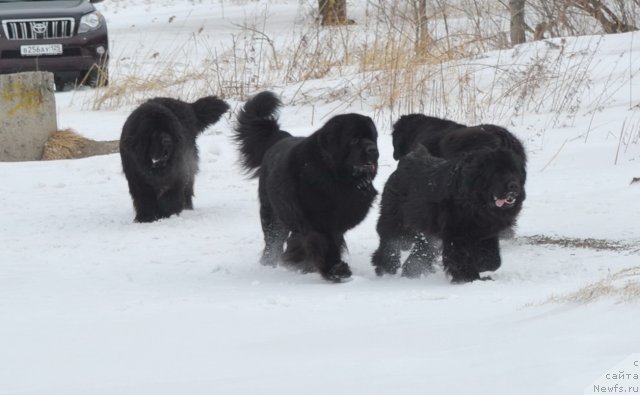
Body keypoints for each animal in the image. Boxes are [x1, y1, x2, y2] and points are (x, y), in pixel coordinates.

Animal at [232, 91, 378, 284]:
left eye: (372, 138)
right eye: (354, 139)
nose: (373, 149)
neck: (334, 176)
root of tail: (280, 137)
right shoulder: (320, 221)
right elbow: (326, 244)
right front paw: (336, 271)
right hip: (272, 213)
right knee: (273, 241)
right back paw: (271, 263)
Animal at [372, 114, 528, 284]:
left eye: (514, 171)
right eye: (497, 173)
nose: (513, 186)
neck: (476, 200)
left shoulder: (486, 233)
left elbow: (492, 260)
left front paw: (481, 268)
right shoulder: (457, 233)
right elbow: (462, 257)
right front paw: (468, 278)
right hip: (396, 218)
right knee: (389, 241)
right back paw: (386, 267)